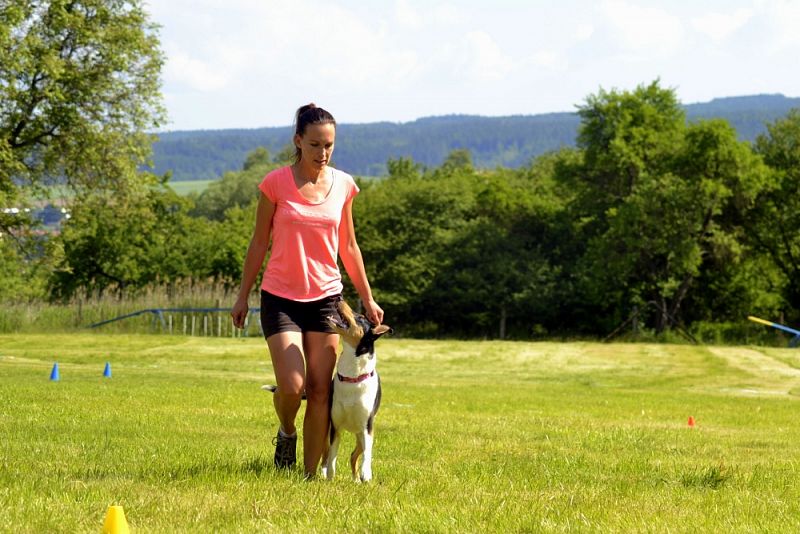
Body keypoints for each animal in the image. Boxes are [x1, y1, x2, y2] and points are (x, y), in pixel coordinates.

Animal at [320, 302, 392, 486]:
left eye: (360, 317)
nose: (340, 300)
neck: (352, 377)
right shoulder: (335, 426)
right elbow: (332, 455)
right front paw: (330, 476)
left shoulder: (367, 427)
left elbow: (368, 454)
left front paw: (366, 474)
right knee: (329, 454)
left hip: (361, 435)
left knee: (355, 456)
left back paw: (357, 480)